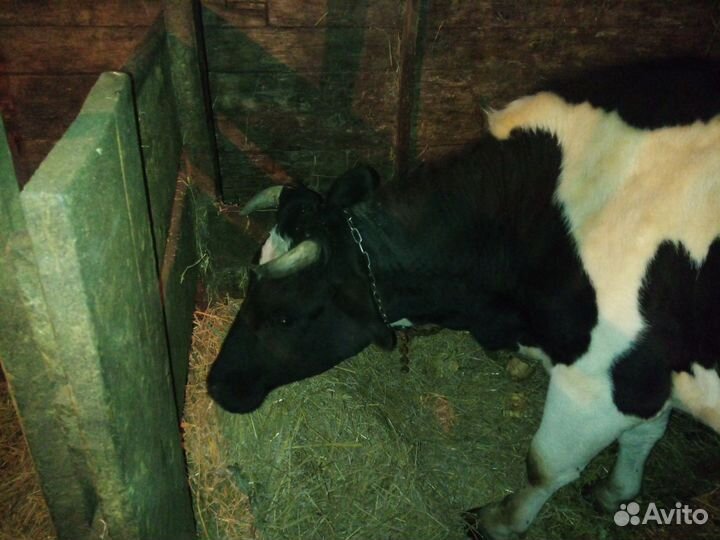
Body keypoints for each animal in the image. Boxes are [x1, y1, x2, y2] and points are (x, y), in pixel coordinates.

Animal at [207, 58, 720, 539]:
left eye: (285, 317)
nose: (216, 383)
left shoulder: (599, 382)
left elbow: (546, 464)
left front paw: (499, 521)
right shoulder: (647, 379)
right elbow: (645, 434)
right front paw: (617, 492)